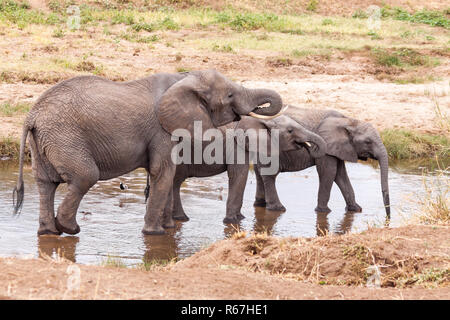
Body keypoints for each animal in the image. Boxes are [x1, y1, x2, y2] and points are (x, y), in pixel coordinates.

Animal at [13, 69, 284, 235]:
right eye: (229, 95)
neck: (184, 77)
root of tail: (31, 116)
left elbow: (167, 174)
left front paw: (168, 229)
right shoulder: (161, 130)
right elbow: (162, 172)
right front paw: (156, 234)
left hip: (45, 141)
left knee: (45, 183)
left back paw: (49, 232)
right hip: (65, 137)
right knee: (85, 176)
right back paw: (69, 229)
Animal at [156, 115, 326, 225]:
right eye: (290, 131)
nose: (309, 147)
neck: (264, 121)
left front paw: (239, 219)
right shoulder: (237, 146)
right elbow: (239, 174)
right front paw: (234, 221)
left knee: (175, 182)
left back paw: (180, 219)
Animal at [253, 107, 390, 218]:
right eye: (368, 142)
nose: (388, 218)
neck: (348, 121)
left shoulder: (338, 148)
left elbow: (340, 174)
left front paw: (356, 210)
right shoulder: (327, 148)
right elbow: (329, 172)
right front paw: (323, 212)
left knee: (258, 172)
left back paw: (260, 205)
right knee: (269, 174)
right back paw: (277, 209)